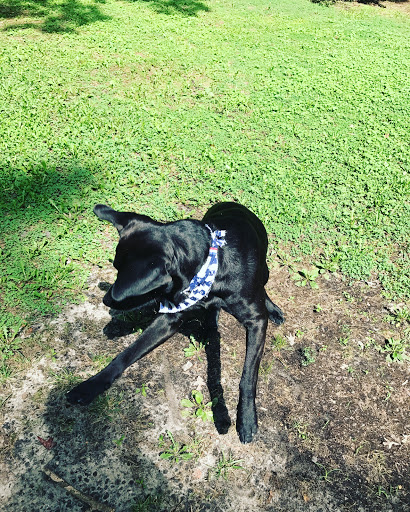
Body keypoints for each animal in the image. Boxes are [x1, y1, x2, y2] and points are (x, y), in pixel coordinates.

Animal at [67, 202, 284, 443]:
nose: (105, 300)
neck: (211, 266)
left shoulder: (256, 322)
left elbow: (247, 377)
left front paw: (245, 419)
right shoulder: (170, 318)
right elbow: (127, 353)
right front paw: (90, 386)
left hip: (264, 271)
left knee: (263, 287)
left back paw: (272, 309)